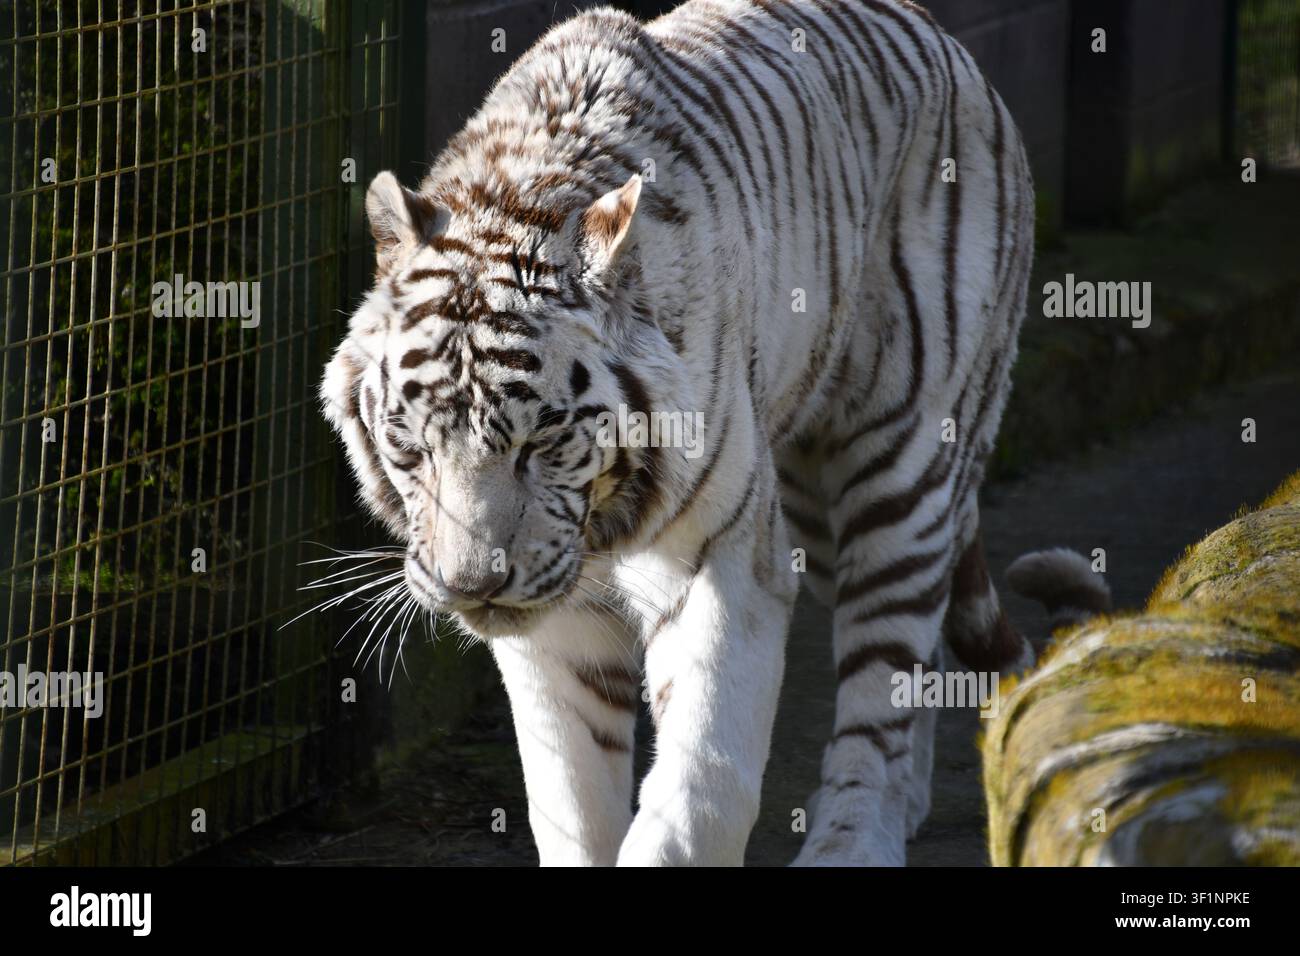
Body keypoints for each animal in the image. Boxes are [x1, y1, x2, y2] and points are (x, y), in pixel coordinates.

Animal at [320, 0, 1035, 866]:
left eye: (542, 440)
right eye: (411, 443)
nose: (472, 586)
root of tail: (935, 27)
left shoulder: (721, 563)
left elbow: (699, 792)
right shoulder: (555, 624)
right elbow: (569, 799)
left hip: (902, 456)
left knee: (882, 678)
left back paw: (855, 837)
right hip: (815, 505)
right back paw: (906, 806)